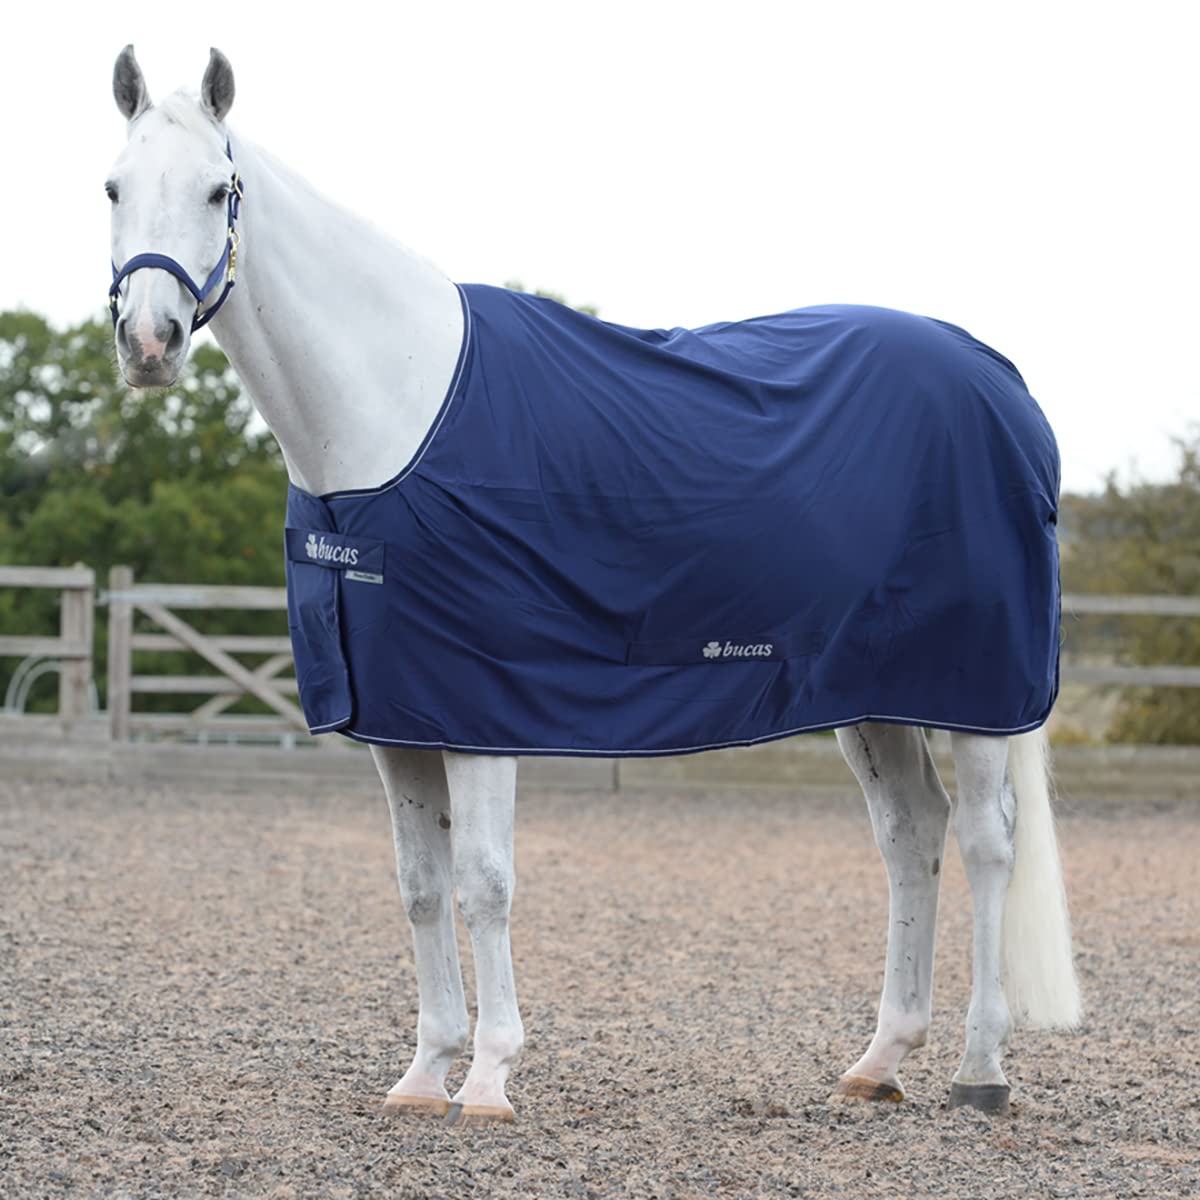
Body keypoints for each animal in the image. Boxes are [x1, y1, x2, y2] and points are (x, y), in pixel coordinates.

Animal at [104, 46, 1081, 1125]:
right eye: (112, 187)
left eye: (218, 189)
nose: (148, 344)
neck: (392, 413)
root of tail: (1004, 384)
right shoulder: (398, 720)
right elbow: (419, 885)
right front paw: (423, 1074)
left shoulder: (480, 710)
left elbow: (483, 881)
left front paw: (489, 1078)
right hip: (874, 694)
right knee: (912, 835)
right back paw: (879, 1060)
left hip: (978, 694)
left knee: (988, 845)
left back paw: (980, 1069)